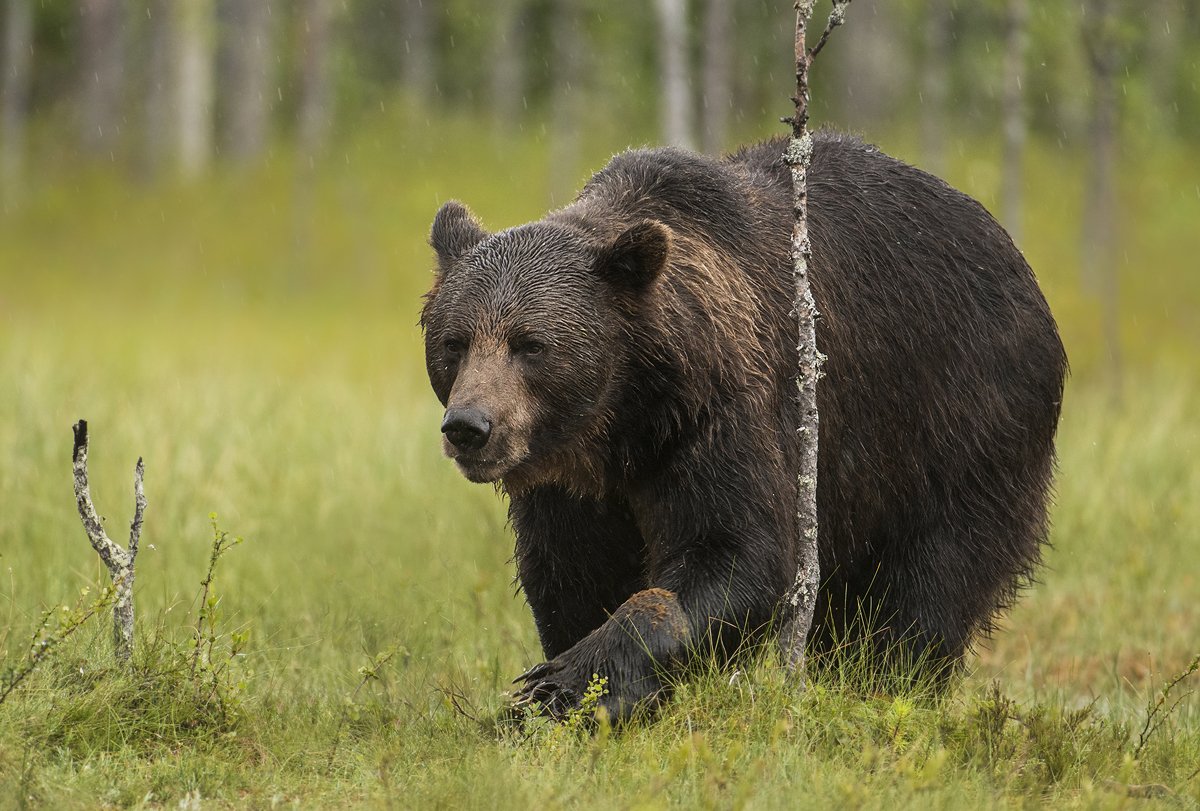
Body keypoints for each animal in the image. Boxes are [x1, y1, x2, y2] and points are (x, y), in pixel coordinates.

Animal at [422, 131, 1070, 724]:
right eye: (455, 341)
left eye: (529, 344)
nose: (469, 426)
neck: (622, 421)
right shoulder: (568, 483)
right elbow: (570, 575)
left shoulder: (720, 411)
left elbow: (738, 553)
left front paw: (562, 686)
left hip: (959, 422)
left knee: (930, 583)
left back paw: (888, 689)